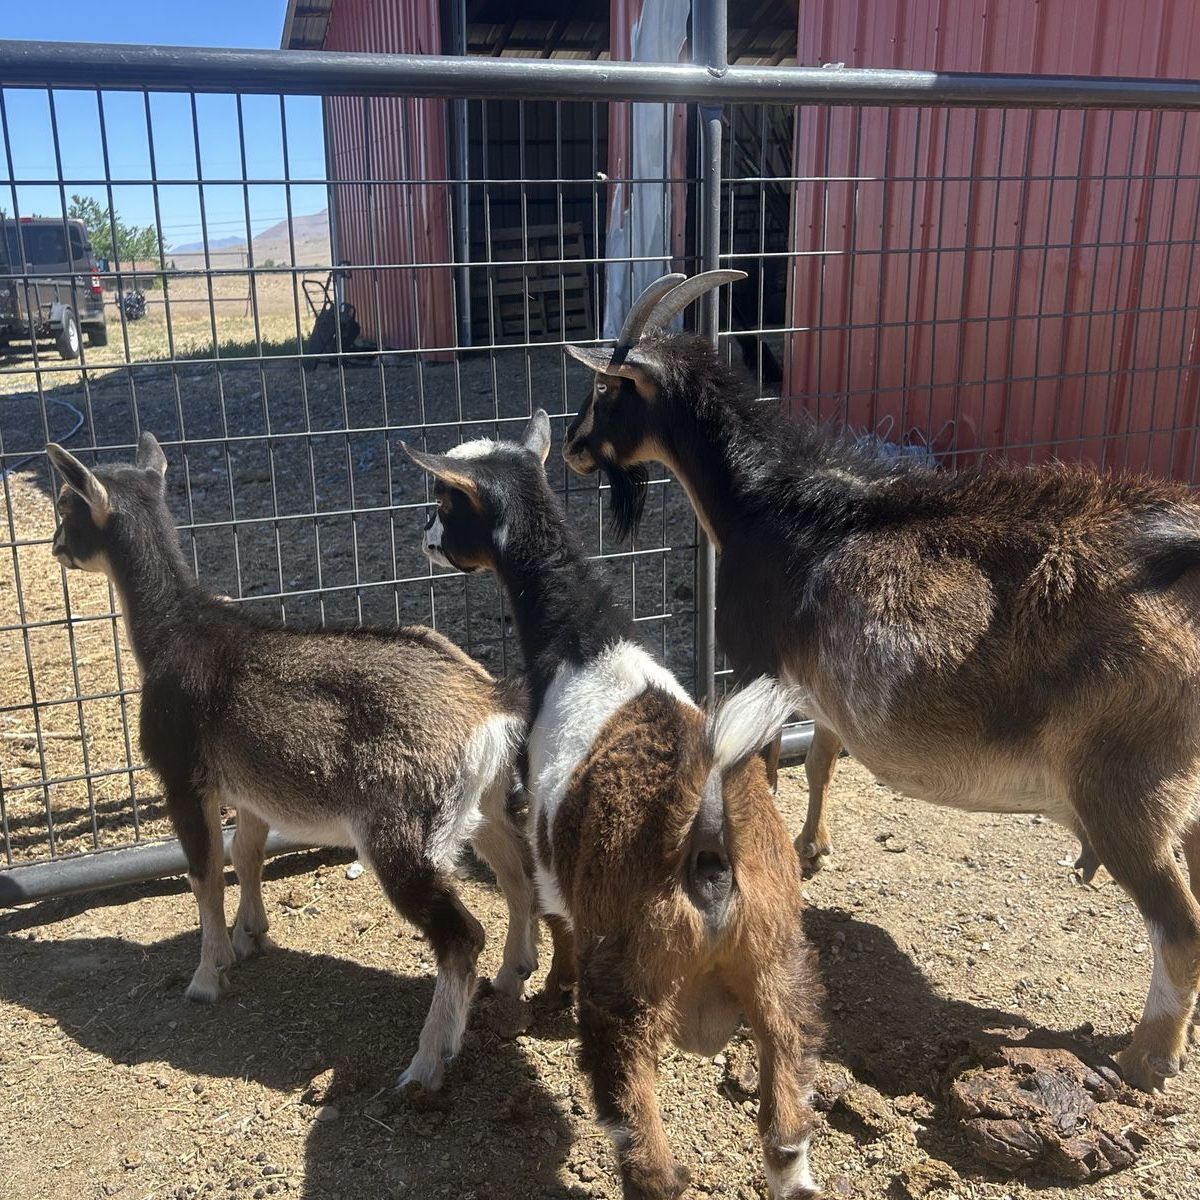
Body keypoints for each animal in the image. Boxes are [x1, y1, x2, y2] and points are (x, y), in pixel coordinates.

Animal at [45, 434, 536, 1092]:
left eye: (67, 505)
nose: (55, 547)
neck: (175, 635)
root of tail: (489, 703)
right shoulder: (251, 788)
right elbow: (246, 853)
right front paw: (251, 936)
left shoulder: (182, 774)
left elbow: (204, 872)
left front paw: (208, 976)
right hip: (482, 803)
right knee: (518, 872)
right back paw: (513, 974)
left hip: (402, 827)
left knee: (460, 934)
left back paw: (425, 1065)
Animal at [403, 413, 824, 1200]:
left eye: (447, 502)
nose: (425, 538)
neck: (584, 643)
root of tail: (708, 842)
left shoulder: (546, 843)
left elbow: (555, 918)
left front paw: (547, 987)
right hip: (780, 966)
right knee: (786, 1135)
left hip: (629, 987)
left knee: (648, 1153)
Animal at [560, 271, 1200, 1094]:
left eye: (608, 388)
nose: (574, 448)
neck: (770, 508)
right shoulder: (821, 685)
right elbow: (822, 760)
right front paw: (813, 848)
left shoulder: (757, 661)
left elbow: (764, 770)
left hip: (1125, 783)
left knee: (1178, 923)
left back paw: (1148, 1055)